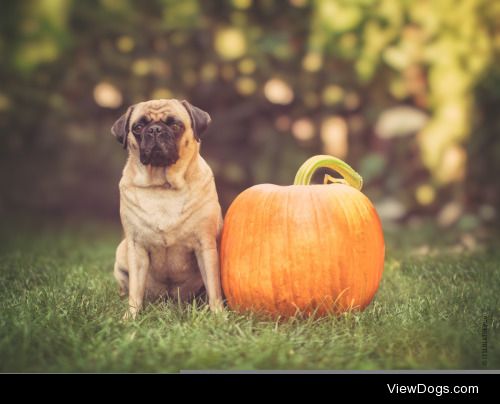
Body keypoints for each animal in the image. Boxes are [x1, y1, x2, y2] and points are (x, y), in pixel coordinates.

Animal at [113, 98, 225, 318]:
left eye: (175, 125)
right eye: (138, 127)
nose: (155, 129)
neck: (163, 187)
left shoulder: (205, 246)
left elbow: (213, 286)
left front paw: (218, 315)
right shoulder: (136, 247)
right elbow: (135, 290)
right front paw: (130, 317)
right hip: (122, 253)